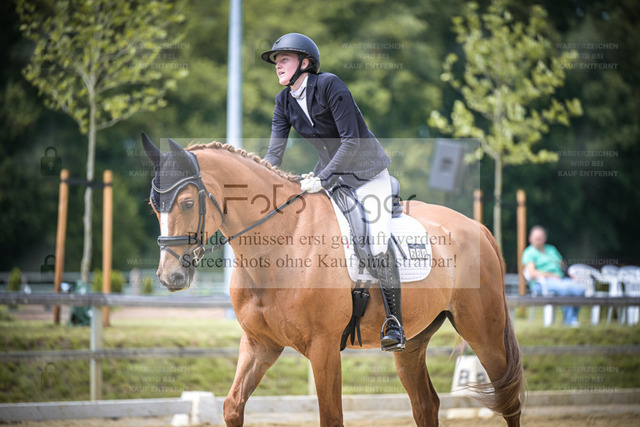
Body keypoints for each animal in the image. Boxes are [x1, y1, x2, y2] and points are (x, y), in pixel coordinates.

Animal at [141, 134, 524, 426]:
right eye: (153, 205)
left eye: (187, 203)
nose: (170, 276)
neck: (281, 241)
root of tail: (476, 227)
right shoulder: (259, 344)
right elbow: (233, 406)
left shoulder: (323, 347)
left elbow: (331, 417)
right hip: (413, 341)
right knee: (426, 405)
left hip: (483, 331)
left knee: (509, 400)